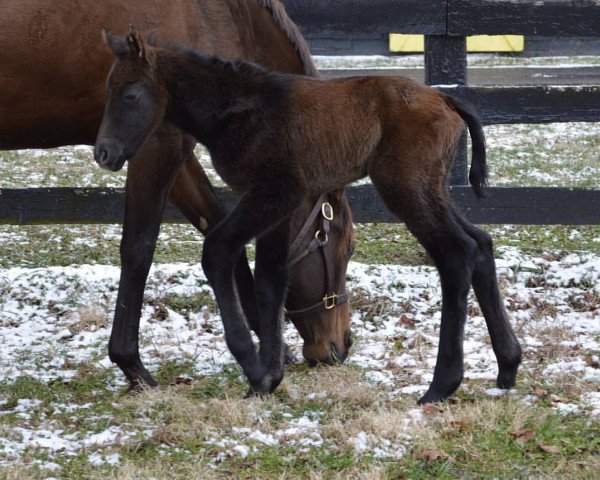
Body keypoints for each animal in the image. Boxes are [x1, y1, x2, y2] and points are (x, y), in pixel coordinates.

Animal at [95, 30, 520, 404]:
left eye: (130, 94)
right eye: (107, 90)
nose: (104, 153)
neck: (239, 109)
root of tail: (446, 100)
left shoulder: (272, 194)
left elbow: (217, 251)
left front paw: (254, 369)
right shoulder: (281, 206)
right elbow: (270, 279)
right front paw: (268, 379)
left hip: (407, 190)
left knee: (456, 253)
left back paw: (441, 386)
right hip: (430, 191)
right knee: (480, 243)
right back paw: (508, 366)